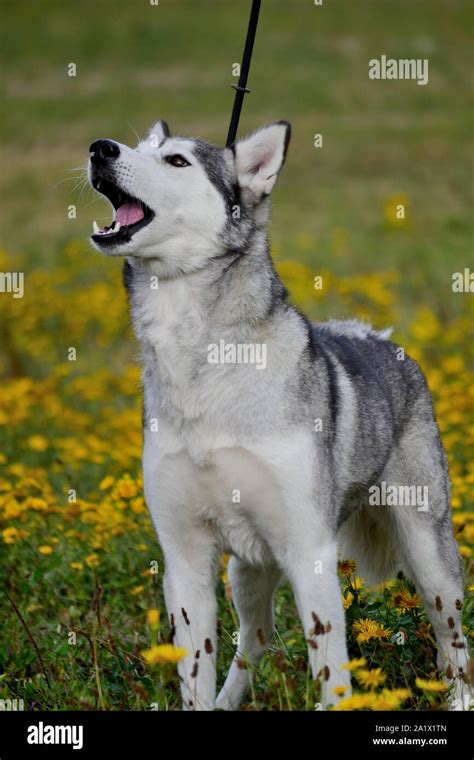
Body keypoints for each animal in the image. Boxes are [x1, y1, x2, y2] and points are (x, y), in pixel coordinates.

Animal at [88, 120, 470, 712]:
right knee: (254, 640)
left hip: (428, 552)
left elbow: (332, 673)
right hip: (244, 569)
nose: (100, 149)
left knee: (452, 635)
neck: (202, 363)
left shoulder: (309, 552)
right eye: (138, 147)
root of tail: (382, 338)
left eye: (176, 161)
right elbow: (196, 670)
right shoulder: (185, 560)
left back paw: (459, 696)